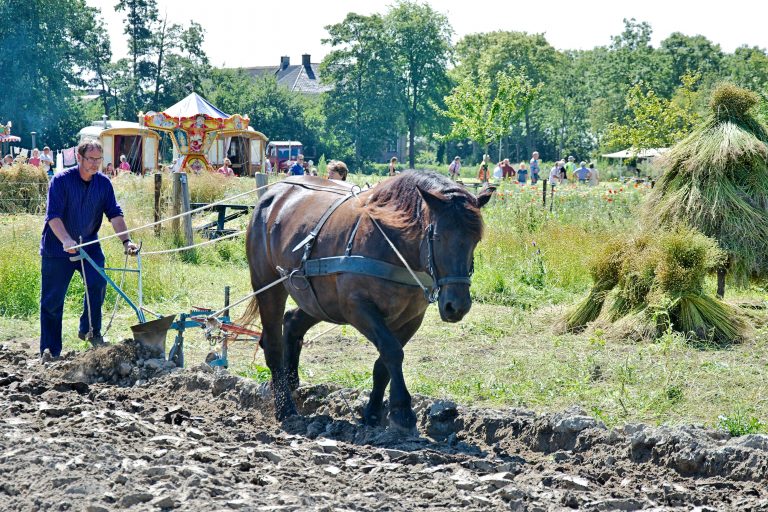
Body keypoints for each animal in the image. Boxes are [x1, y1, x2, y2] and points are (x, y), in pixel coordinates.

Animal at [244, 170, 492, 430]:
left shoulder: (412, 317)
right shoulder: (357, 308)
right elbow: (392, 351)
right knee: (273, 344)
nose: (457, 306)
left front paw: (373, 414)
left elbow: (383, 364)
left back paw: (290, 381)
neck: (395, 245)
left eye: (476, 239)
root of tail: (274, 192)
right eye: (438, 236)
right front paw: (402, 410)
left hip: (320, 300)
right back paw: (285, 407)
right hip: (267, 284)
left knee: (292, 320)